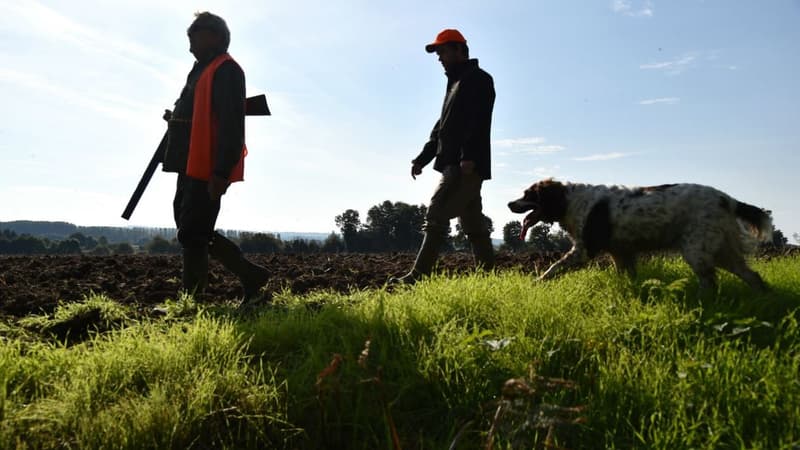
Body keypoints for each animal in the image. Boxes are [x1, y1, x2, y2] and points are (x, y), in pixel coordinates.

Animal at [506, 179, 776, 292]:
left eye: (528, 194)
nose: (509, 203)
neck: (570, 201)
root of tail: (727, 199)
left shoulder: (584, 250)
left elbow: (553, 268)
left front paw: (536, 282)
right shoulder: (621, 253)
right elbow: (627, 276)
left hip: (697, 249)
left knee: (709, 281)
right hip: (721, 250)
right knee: (752, 276)